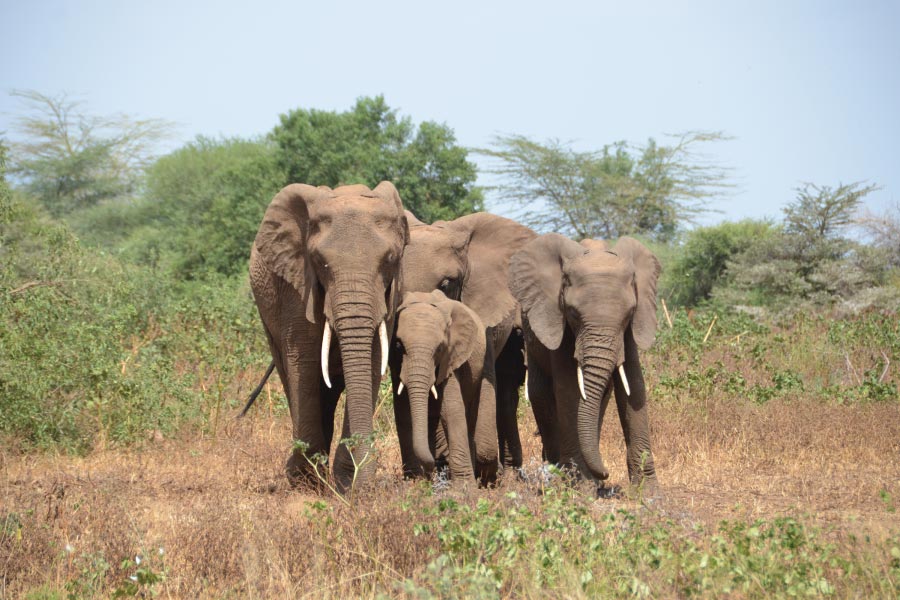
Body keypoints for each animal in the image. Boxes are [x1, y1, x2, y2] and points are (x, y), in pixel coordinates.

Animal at [249, 182, 409, 492]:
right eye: (320, 262)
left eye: (390, 260)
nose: (363, 482)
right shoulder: (296, 287)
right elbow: (304, 363)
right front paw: (305, 482)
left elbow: (372, 360)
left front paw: (349, 483)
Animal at [393, 290, 497, 486]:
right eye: (399, 345)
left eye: (440, 348)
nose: (434, 467)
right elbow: (403, 409)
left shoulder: (451, 358)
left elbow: (450, 410)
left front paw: (464, 488)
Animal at [508, 233, 661, 490]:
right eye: (572, 313)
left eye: (629, 314)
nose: (606, 473)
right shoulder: (557, 323)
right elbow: (569, 389)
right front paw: (580, 487)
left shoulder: (630, 332)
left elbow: (634, 387)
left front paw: (649, 491)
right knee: (541, 393)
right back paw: (558, 474)